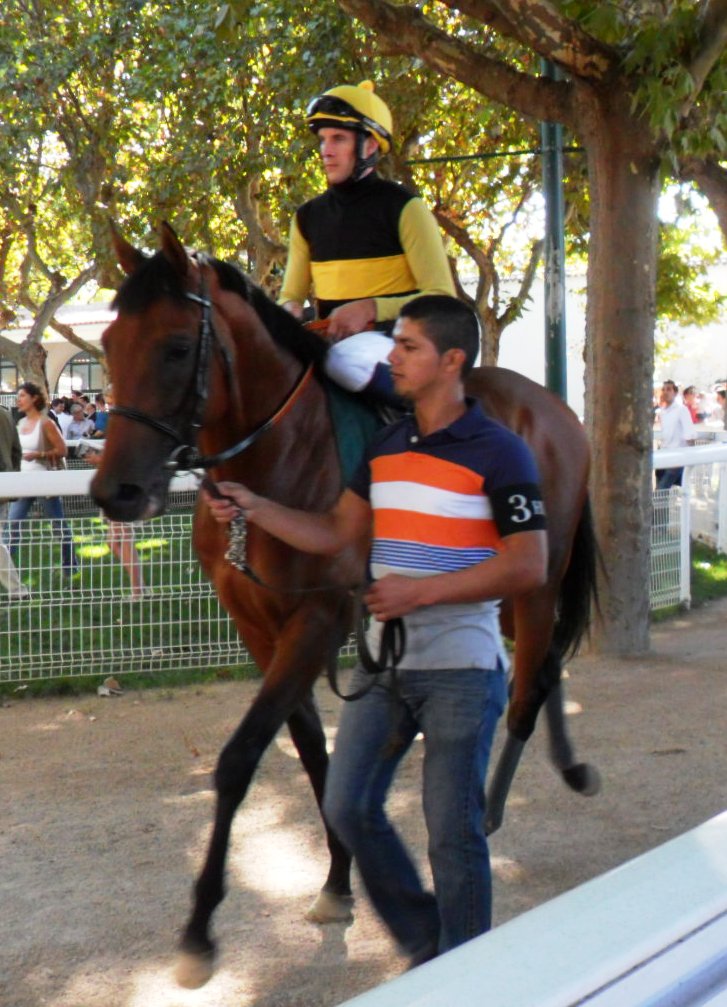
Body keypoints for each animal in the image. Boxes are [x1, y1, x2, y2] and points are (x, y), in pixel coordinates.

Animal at [91, 222, 599, 988]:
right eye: (108, 344)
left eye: (177, 346)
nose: (114, 492)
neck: (275, 455)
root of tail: (553, 406)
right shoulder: (258, 624)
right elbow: (312, 754)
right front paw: (337, 878)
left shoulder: (318, 618)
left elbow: (240, 757)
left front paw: (199, 929)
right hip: (506, 594)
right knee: (536, 669)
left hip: (534, 581)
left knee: (526, 687)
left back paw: (489, 806)